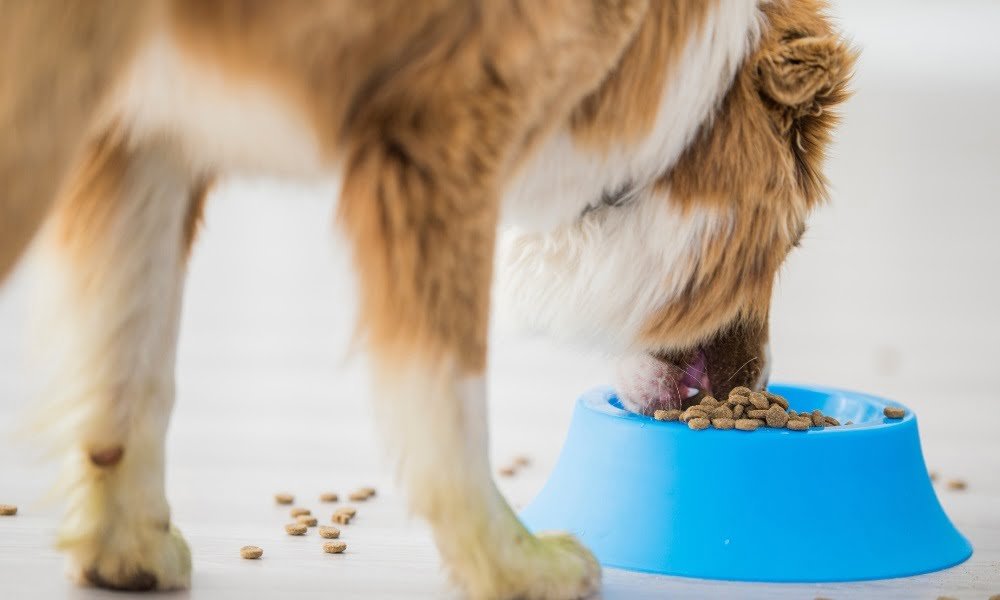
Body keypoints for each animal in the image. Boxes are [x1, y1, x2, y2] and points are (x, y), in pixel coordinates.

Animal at [1, 2, 852, 596]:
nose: (755, 388)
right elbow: (451, 400)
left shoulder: (141, 135)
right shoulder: (441, 140)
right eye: (792, 244)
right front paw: (512, 564)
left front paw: (126, 552)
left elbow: (131, 370)